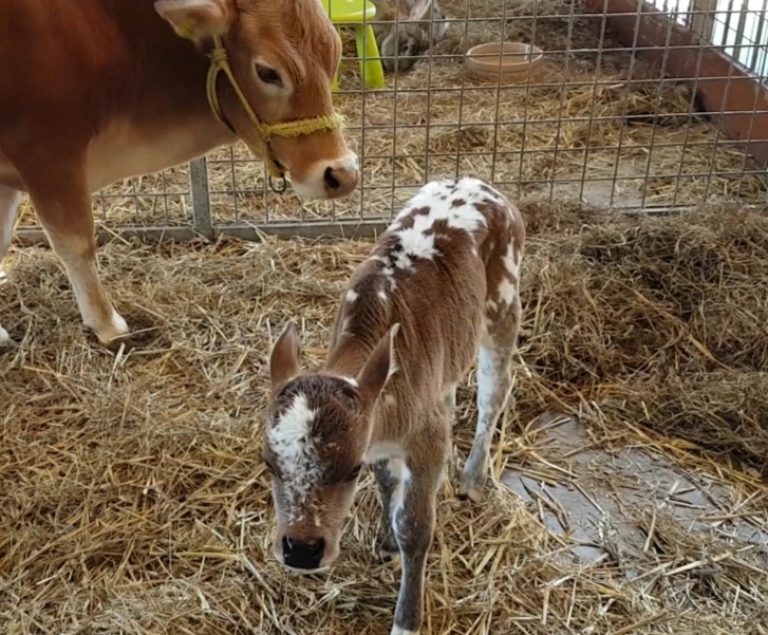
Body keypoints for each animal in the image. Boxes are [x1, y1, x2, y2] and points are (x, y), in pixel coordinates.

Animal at [0, 0, 356, 348]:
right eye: (268, 72)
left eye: (335, 53)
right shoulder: (49, 153)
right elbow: (76, 244)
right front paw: (107, 324)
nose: (342, 175)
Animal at [262, 176, 520, 632]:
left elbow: (415, 527)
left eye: (350, 470)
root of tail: (477, 182)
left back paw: (472, 477)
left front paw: (407, 618)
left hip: (503, 306)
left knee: (493, 393)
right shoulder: (384, 435)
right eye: (268, 463)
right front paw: (385, 543)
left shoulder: (423, 437)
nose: (302, 549)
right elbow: (386, 482)